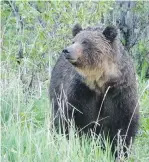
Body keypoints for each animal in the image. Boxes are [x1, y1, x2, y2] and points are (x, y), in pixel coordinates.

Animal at [49, 23, 139, 157]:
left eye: (85, 42)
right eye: (74, 40)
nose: (67, 50)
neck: (100, 81)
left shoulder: (118, 93)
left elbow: (124, 124)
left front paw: (120, 152)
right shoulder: (81, 92)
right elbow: (70, 118)